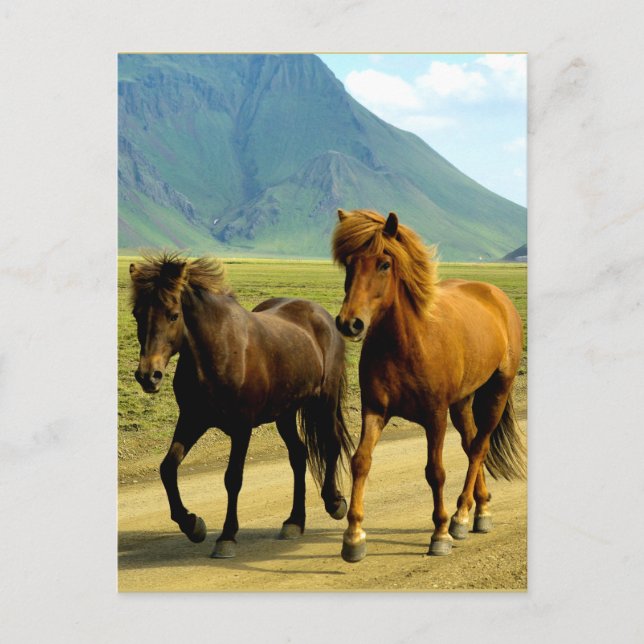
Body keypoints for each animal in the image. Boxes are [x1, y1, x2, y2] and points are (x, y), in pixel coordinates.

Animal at [128, 252, 352, 558]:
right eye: (137, 314)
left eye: (173, 314)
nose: (148, 375)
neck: (217, 352)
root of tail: (322, 315)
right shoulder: (191, 419)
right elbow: (167, 468)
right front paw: (192, 524)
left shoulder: (241, 427)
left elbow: (232, 478)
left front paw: (226, 537)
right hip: (285, 413)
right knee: (298, 455)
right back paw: (294, 521)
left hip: (325, 400)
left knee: (331, 443)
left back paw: (334, 503)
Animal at [332, 209, 526, 562]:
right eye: (349, 263)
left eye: (384, 264)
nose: (350, 323)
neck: (406, 343)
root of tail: (496, 295)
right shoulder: (374, 411)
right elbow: (360, 461)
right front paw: (354, 536)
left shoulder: (435, 416)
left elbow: (435, 472)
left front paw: (440, 532)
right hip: (462, 402)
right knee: (471, 443)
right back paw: (481, 510)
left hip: (497, 391)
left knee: (480, 447)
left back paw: (462, 516)